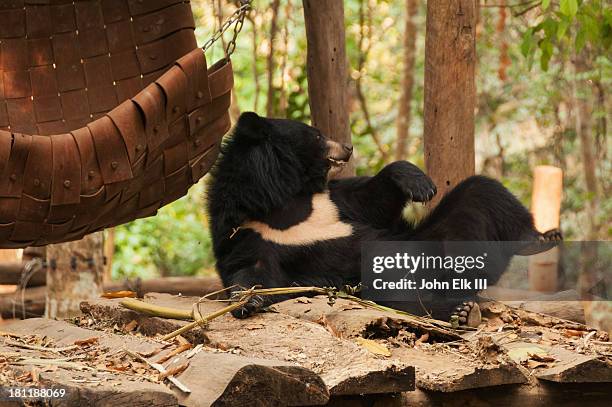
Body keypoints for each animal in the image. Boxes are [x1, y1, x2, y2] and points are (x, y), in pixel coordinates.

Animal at [206, 112, 560, 322]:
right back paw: (458, 311)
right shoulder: (249, 234)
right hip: (381, 283)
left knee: (484, 192)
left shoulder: (334, 202)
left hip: (438, 239)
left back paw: (541, 238)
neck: (286, 199)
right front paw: (247, 301)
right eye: (317, 135)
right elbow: (252, 271)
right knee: (404, 300)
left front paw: (422, 186)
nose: (347, 147)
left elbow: (375, 199)